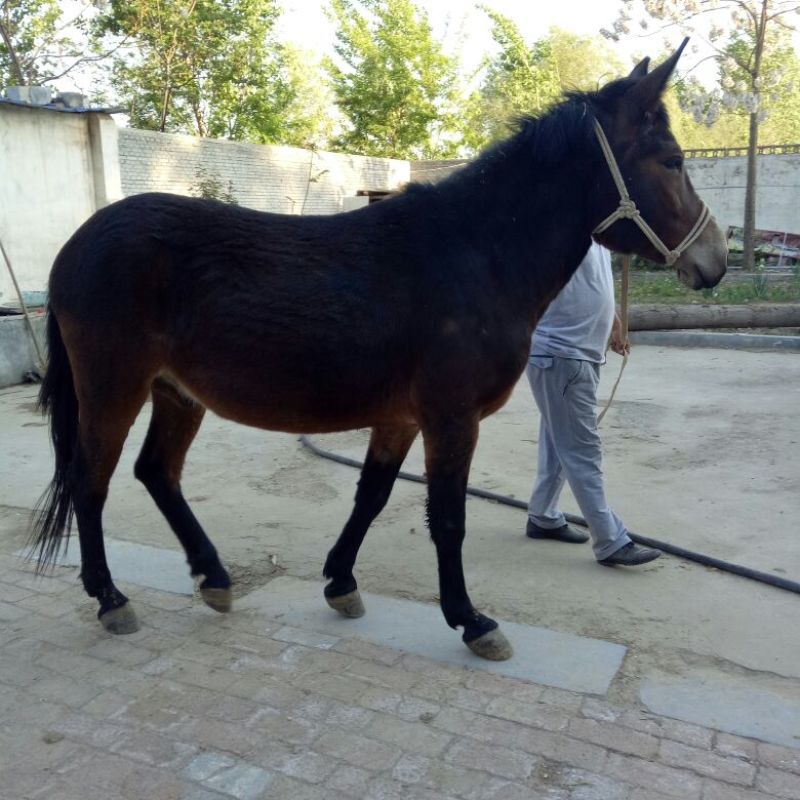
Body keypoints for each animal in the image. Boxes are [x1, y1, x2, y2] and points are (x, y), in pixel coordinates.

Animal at [32, 40, 726, 661]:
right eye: (671, 160)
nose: (714, 260)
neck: (475, 254)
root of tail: (75, 246)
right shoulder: (452, 418)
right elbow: (447, 518)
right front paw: (471, 621)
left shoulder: (400, 418)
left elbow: (372, 496)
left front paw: (341, 583)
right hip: (113, 388)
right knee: (90, 481)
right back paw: (112, 599)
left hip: (176, 393)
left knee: (156, 472)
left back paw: (214, 579)